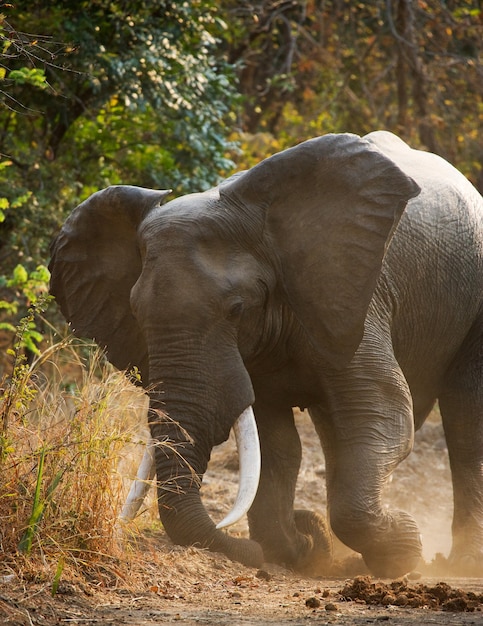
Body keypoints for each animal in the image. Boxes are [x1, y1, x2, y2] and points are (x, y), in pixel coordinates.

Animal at [48, 130, 483, 576]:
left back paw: (462, 562)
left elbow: (383, 414)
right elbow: (275, 439)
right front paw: (299, 548)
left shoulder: (360, 298)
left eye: (237, 309)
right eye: (135, 312)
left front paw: (404, 548)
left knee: (465, 418)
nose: (247, 551)